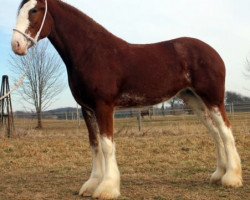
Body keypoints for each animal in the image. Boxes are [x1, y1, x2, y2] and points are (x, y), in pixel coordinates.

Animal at [11, 0, 242, 198]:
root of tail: (213, 52)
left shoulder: (104, 106)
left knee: (226, 131)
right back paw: (218, 175)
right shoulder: (87, 109)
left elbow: (106, 145)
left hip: (213, 99)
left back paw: (232, 178)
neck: (92, 53)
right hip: (194, 101)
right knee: (215, 133)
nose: (16, 45)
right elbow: (94, 145)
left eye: (34, 10)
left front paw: (107, 187)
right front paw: (92, 184)